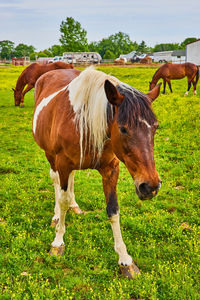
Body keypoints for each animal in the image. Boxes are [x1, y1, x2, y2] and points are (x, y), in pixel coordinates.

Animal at [32, 67, 162, 278]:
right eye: (123, 129)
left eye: (155, 127)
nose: (150, 186)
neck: (83, 121)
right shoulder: (62, 164)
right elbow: (62, 199)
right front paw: (58, 242)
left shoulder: (110, 169)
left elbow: (113, 210)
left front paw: (125, 260)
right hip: (50, 156)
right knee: (56, 183)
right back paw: (56, 215)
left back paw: (74, 206)